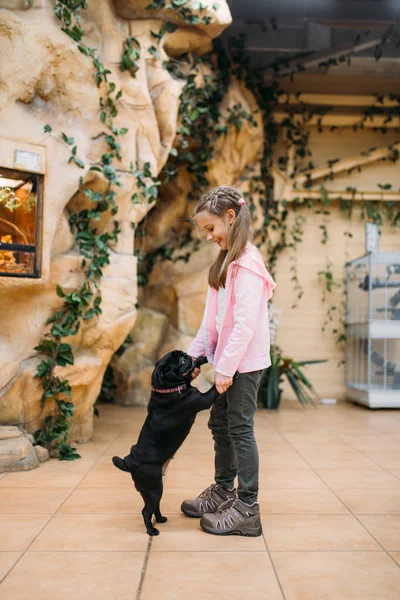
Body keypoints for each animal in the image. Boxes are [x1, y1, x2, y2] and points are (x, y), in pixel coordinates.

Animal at [111, 350, 220, 536]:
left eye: (184, 355)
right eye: (181, 361)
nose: (188, 356)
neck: (167, 389)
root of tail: (129, 461)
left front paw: (203, 358)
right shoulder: (204, 400)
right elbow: (214, 390)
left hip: (151, 489)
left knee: (154, 506)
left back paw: (160, 519)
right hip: (154, 488)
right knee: (146, 511)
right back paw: (151, 530)